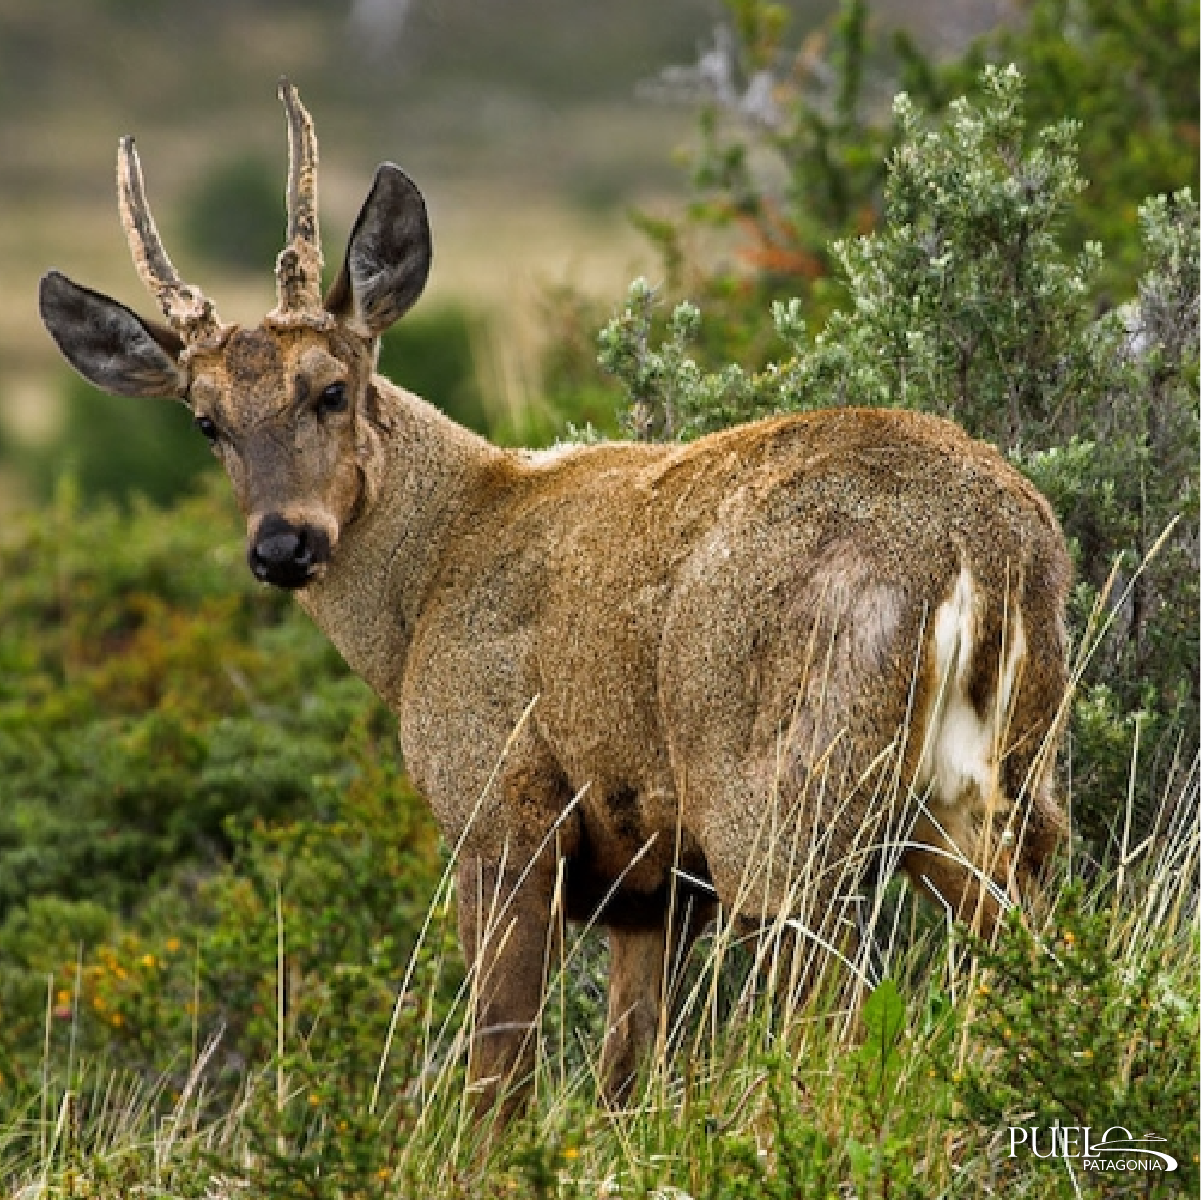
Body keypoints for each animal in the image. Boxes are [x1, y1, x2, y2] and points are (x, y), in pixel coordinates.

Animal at [35, 82, 1071, 1124]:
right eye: (206, 424)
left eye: (329, 389)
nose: (282, 545)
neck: (431, 579)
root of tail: (971, 544)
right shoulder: (650, 886)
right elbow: (626, 1073)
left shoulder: (500, 813)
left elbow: (500, 1075)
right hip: (999, 785)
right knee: (1034, 947)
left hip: (780, 794)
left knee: (827, 1019)